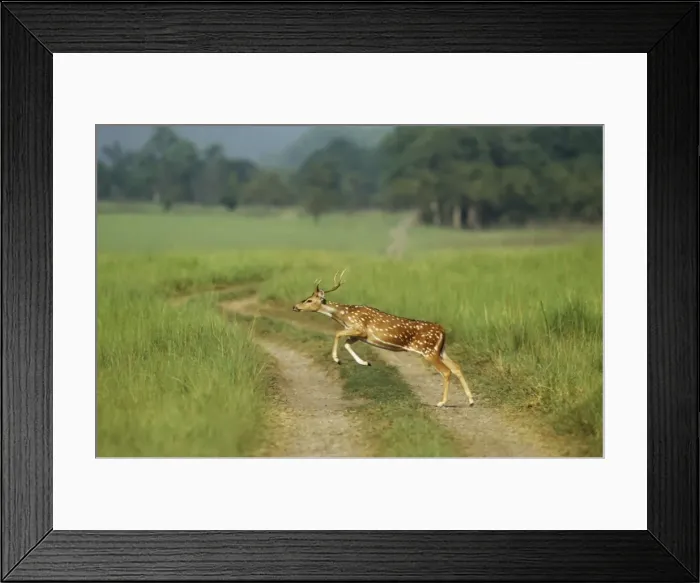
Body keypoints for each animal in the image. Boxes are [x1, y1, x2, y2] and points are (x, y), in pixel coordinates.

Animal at [292, 270, 475, 408]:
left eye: (309, 300)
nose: (295, 306)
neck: (344, 316)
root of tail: (442, 330)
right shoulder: (361, 336)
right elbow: (347, 343)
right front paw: (365, 362)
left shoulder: (360, 329)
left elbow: (337, 334)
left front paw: (337, 359)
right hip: (440, 350)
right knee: (457, 367)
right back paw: (471, 401)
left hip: (428, 351)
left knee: (446, 371)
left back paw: (442, 402)